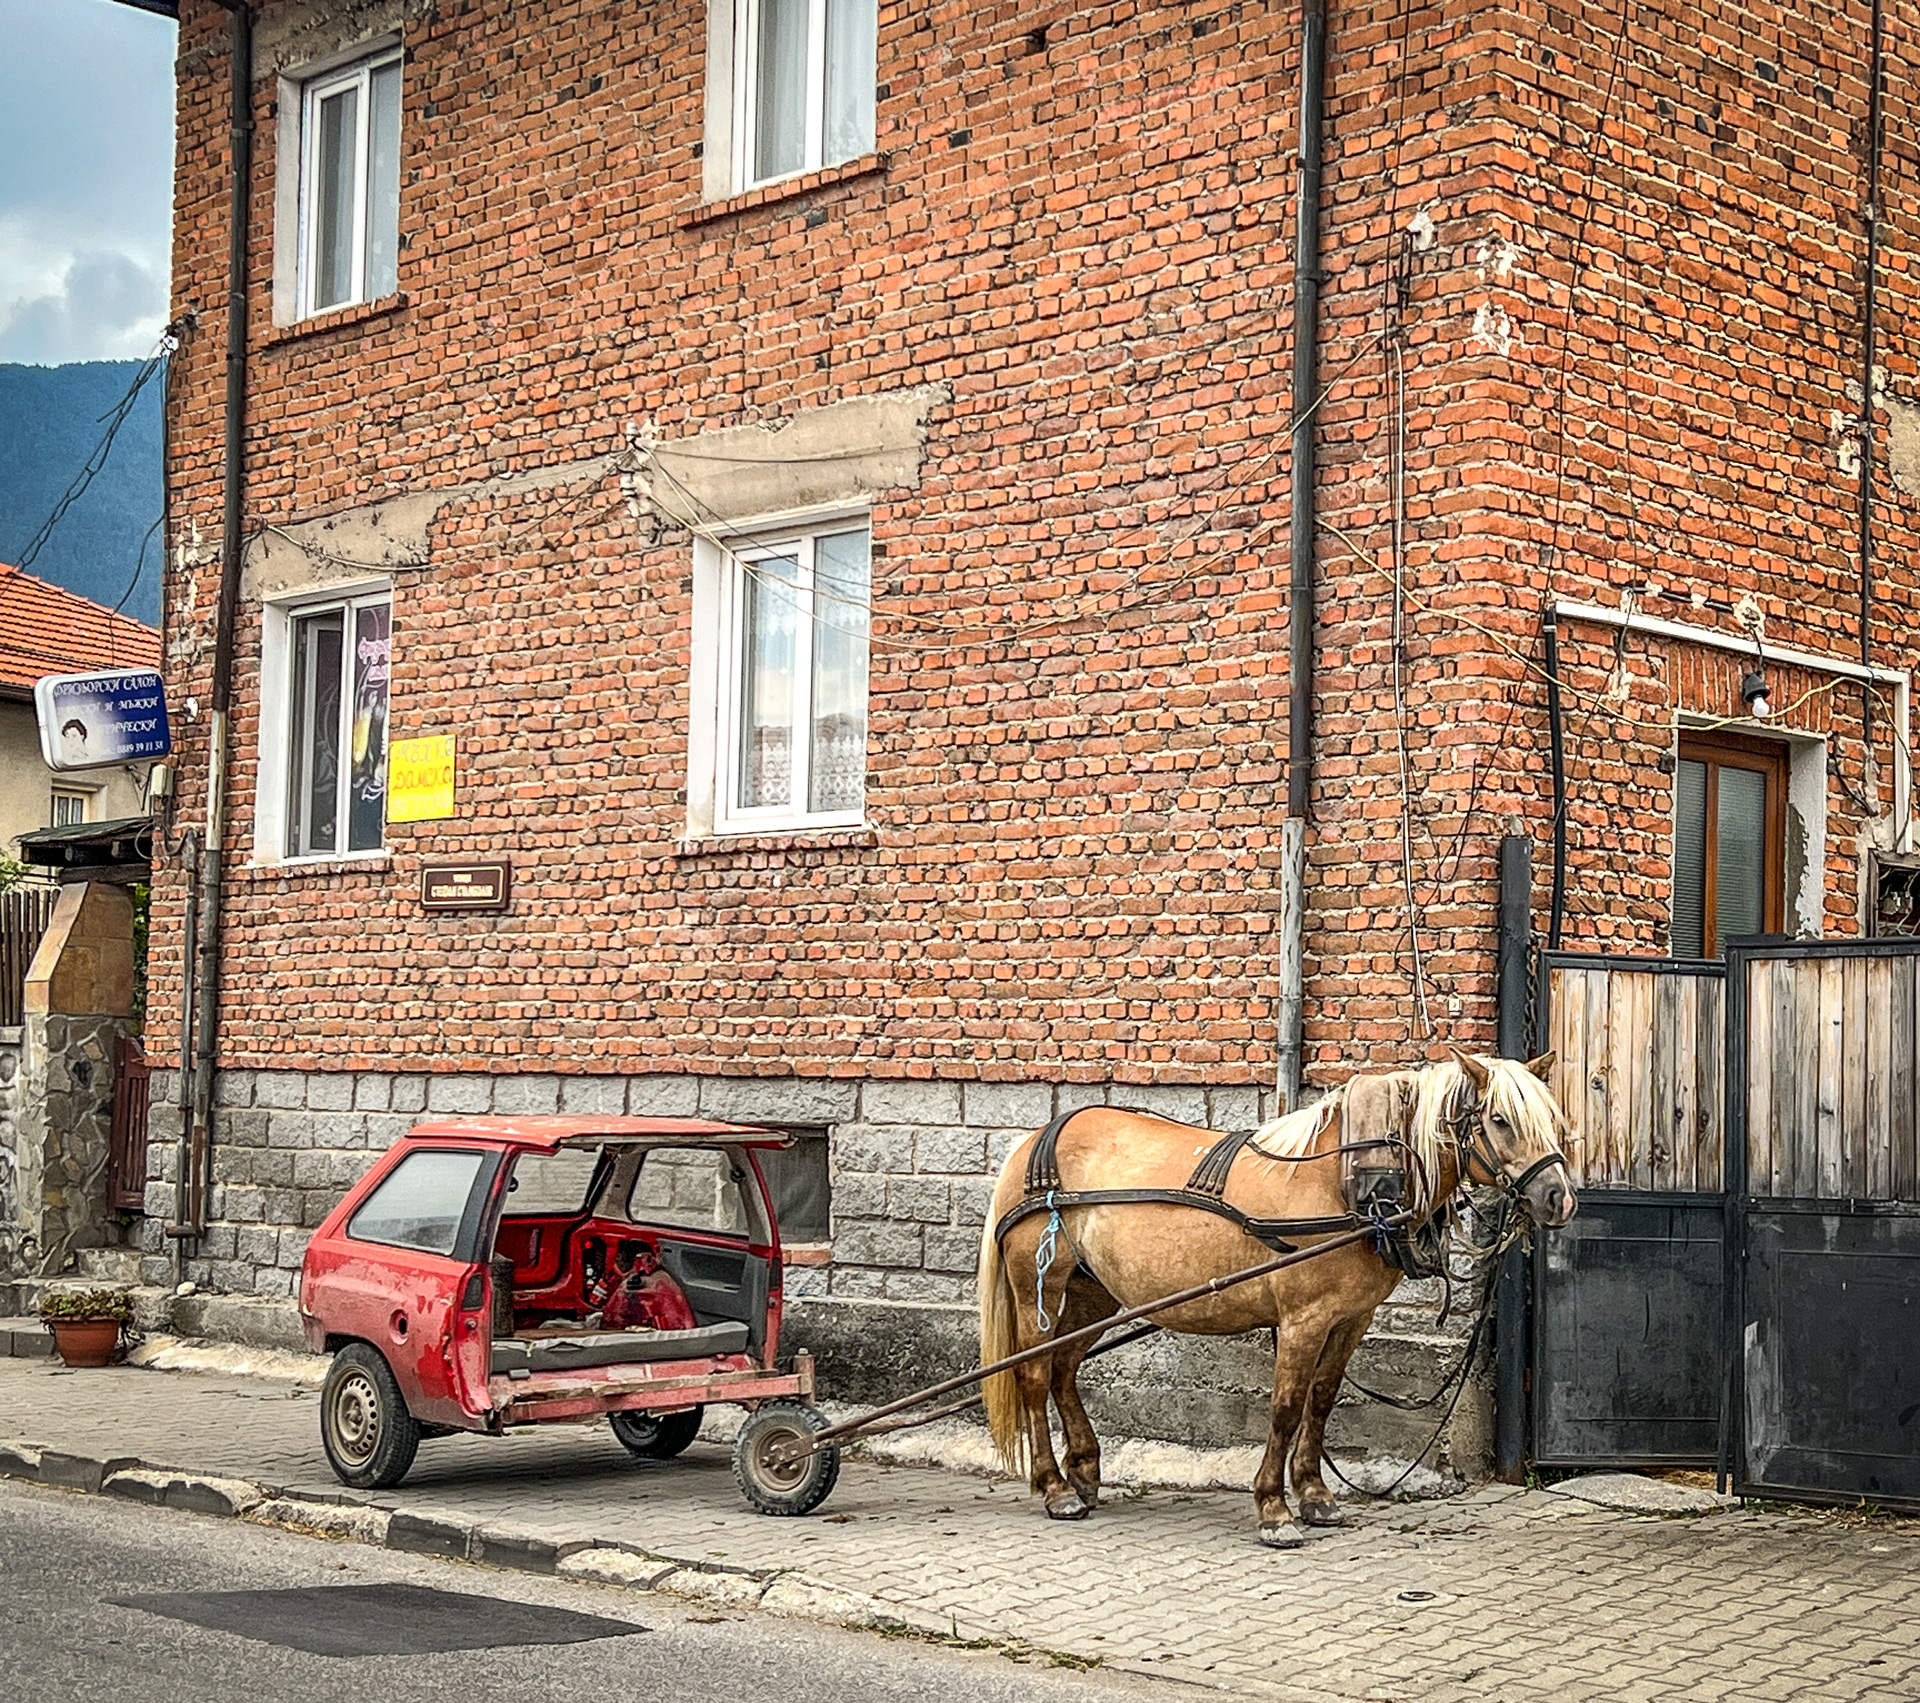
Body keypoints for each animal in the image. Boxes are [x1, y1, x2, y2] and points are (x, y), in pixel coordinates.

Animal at [975, 1052, 1574, 1543]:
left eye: (1555, 1122)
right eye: (1500, 1120)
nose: (1559, 1199)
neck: (1349, 1179)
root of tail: (1033, 1140)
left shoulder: (1351, 1318)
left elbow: (1322, 1400)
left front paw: (1314, 1496)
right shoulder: (1302, 1320)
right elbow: (1286, 1407)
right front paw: (1273, 1508)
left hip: (1092, 1294)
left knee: (1062, 1369)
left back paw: (1084, 1470)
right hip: (1038, 1288)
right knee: (1033, 1375)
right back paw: (1054, 1488)